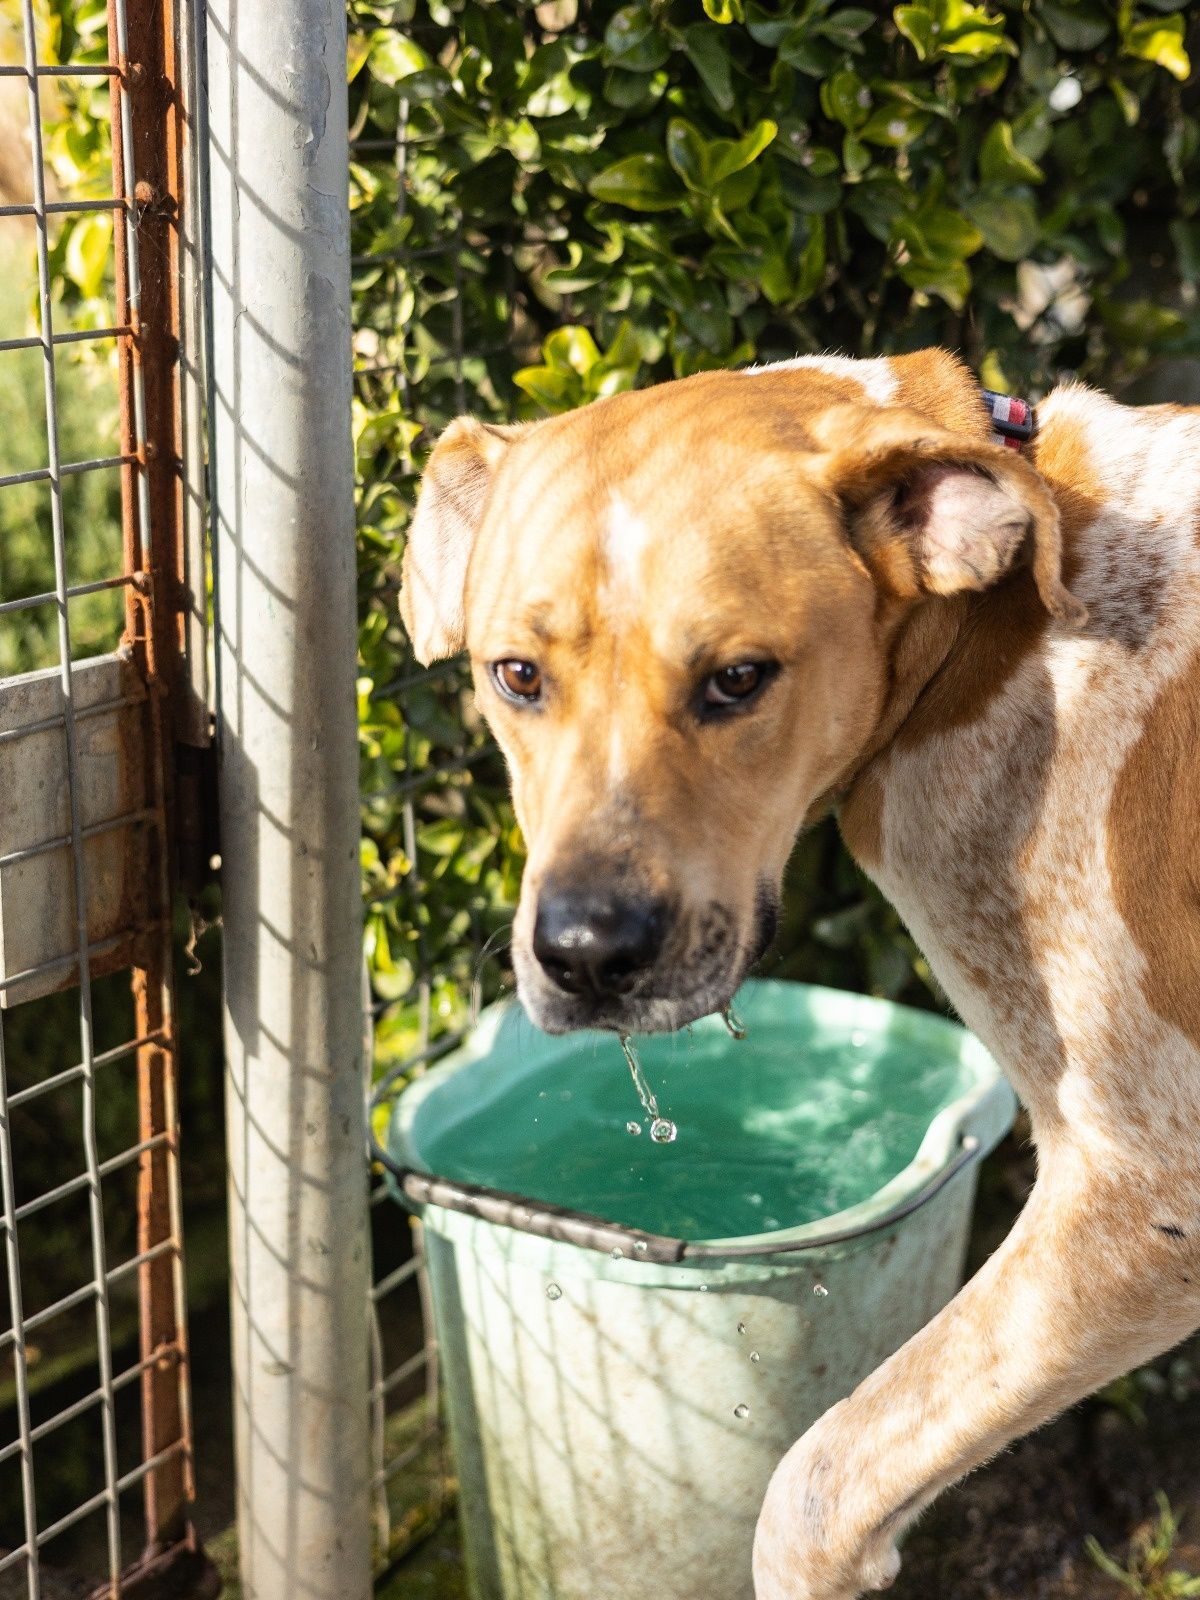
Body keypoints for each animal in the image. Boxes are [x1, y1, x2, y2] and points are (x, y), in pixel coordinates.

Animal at [401, 350, 1200, 1600]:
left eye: (738, 679)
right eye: (516, 675)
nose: (585, 952)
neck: (993, 645)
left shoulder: (1142, 1191)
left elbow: (811, 1489)